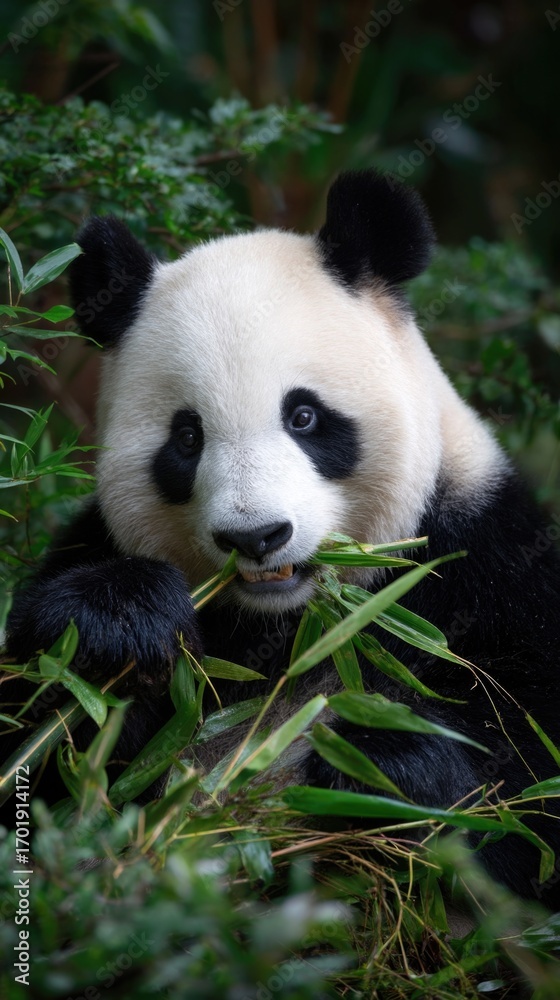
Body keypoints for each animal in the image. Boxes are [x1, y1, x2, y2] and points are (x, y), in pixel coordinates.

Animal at [5, 171, 560, 905]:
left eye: (304, 416)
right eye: (188, 437)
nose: (257, 536)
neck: (289, 627)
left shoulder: (487, 563)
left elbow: (527, 799)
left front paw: (380, 771)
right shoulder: (91, 546)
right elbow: (41, 740)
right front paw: (119, 626)